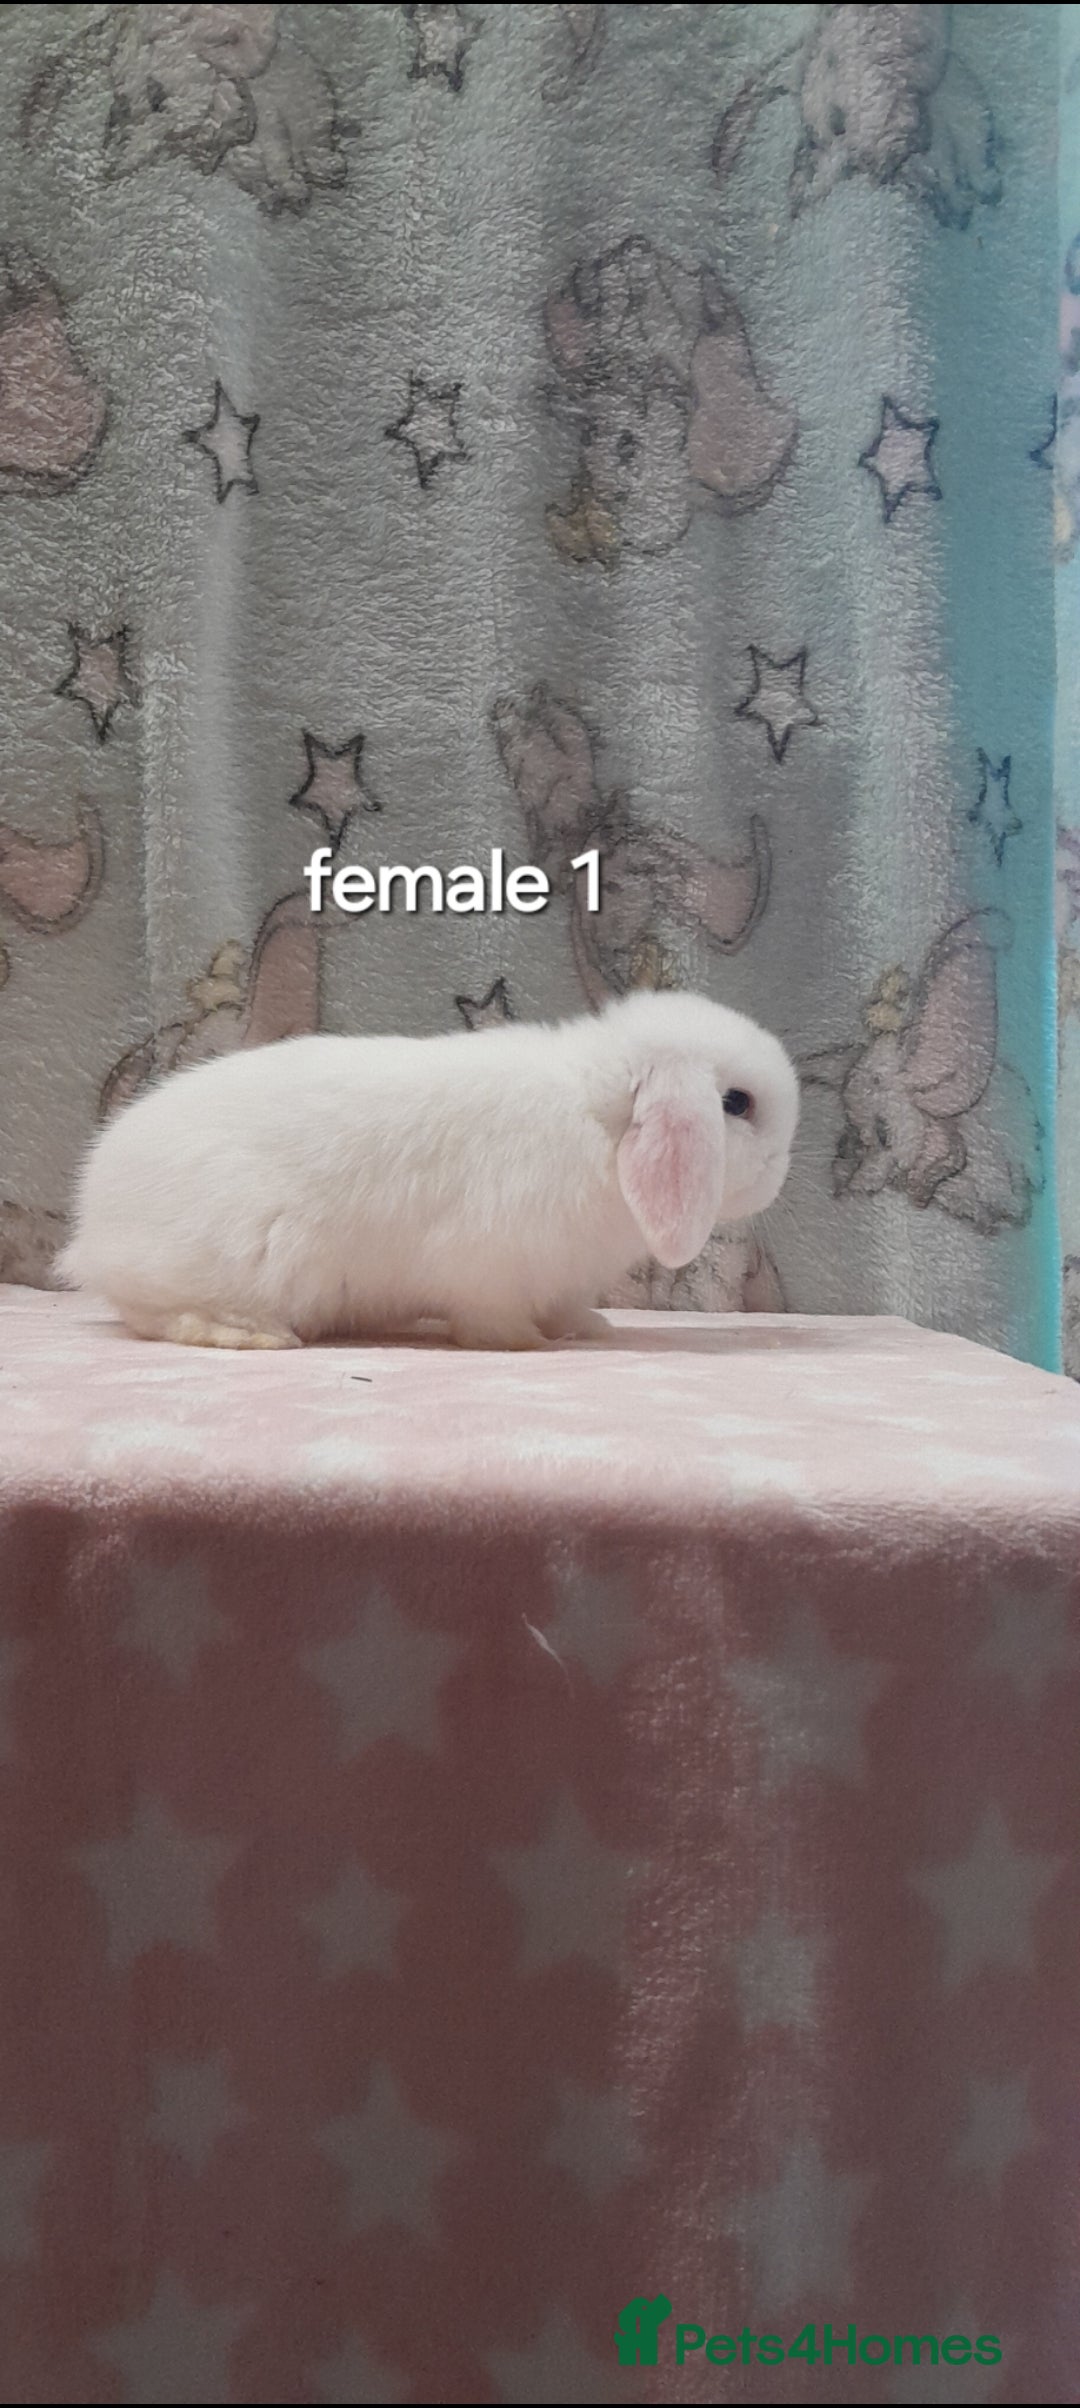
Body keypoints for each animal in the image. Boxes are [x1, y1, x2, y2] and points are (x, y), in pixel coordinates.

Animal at [58, 988, 799, 1351]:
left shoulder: (556, 1278)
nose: (781, 1173)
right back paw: (252, 1336)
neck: (599, 1119)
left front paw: (589, 1329)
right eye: (736, 1103)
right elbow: (489, 1320)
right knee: (153, 1316)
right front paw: (527, 1347)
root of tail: (92, 1228)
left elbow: (565, 1306)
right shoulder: (488, 1265)